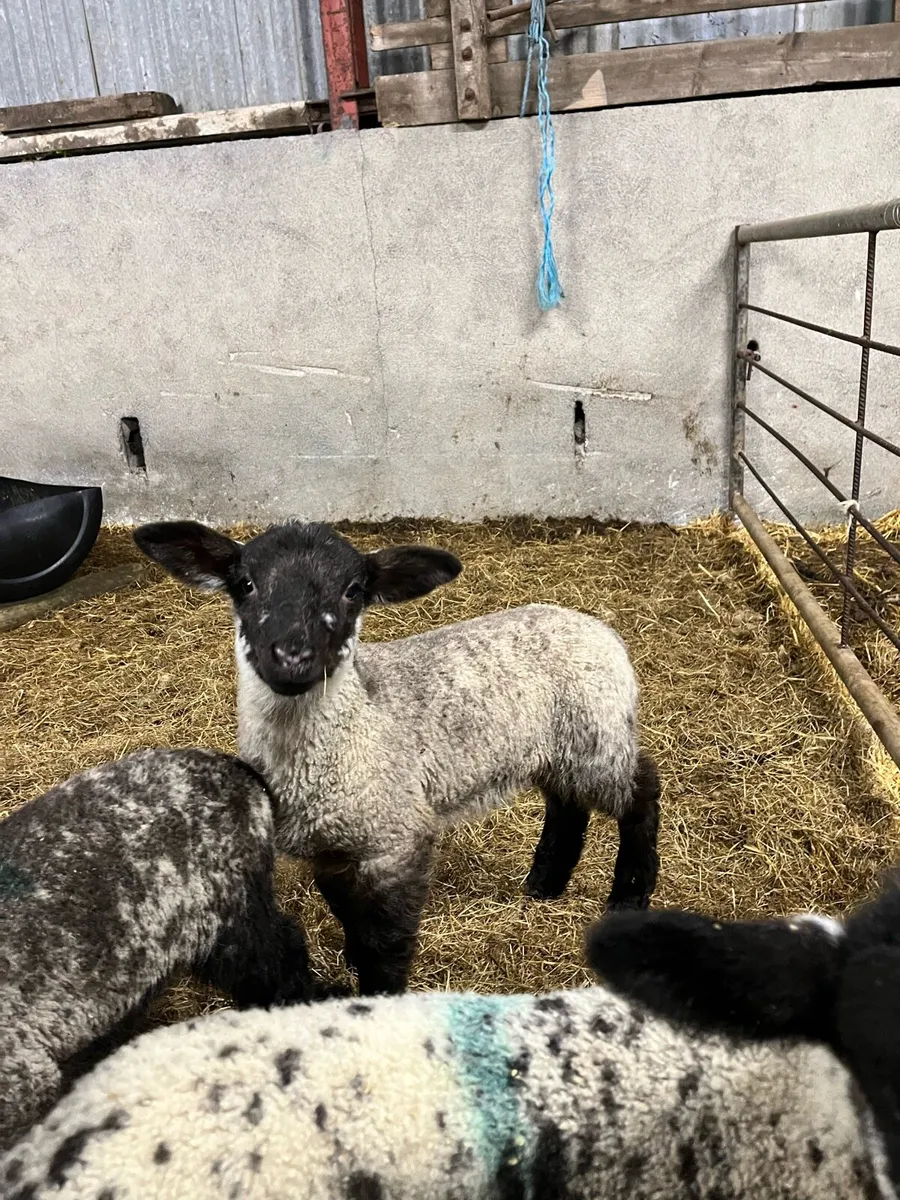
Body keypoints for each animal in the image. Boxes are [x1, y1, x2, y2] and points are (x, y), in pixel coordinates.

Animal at [133, 519, 661, 996]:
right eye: (245, 584)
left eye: (352, 591)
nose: (293, 658)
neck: (353, 725)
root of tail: (598, 628)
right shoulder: (336, 848)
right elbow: (349, 914)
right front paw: (350, 955)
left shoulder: (397, 839)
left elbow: (385, 940)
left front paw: (379, 994)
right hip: (557, 747)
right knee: (567, 806)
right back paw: (545, 883)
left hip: (599, 735)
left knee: (641, 792)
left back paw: (628, 897)